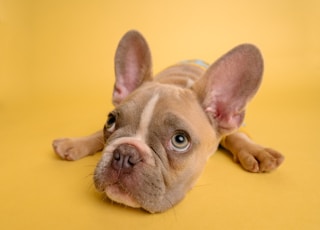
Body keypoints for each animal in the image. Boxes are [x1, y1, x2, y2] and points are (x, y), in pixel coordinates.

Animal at [52, 30, 282, 214]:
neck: (178, 82)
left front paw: (254, 150)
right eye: (110, 121)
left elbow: (235, 135)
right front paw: (75, 143)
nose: (125, 153)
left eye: (180, 140)